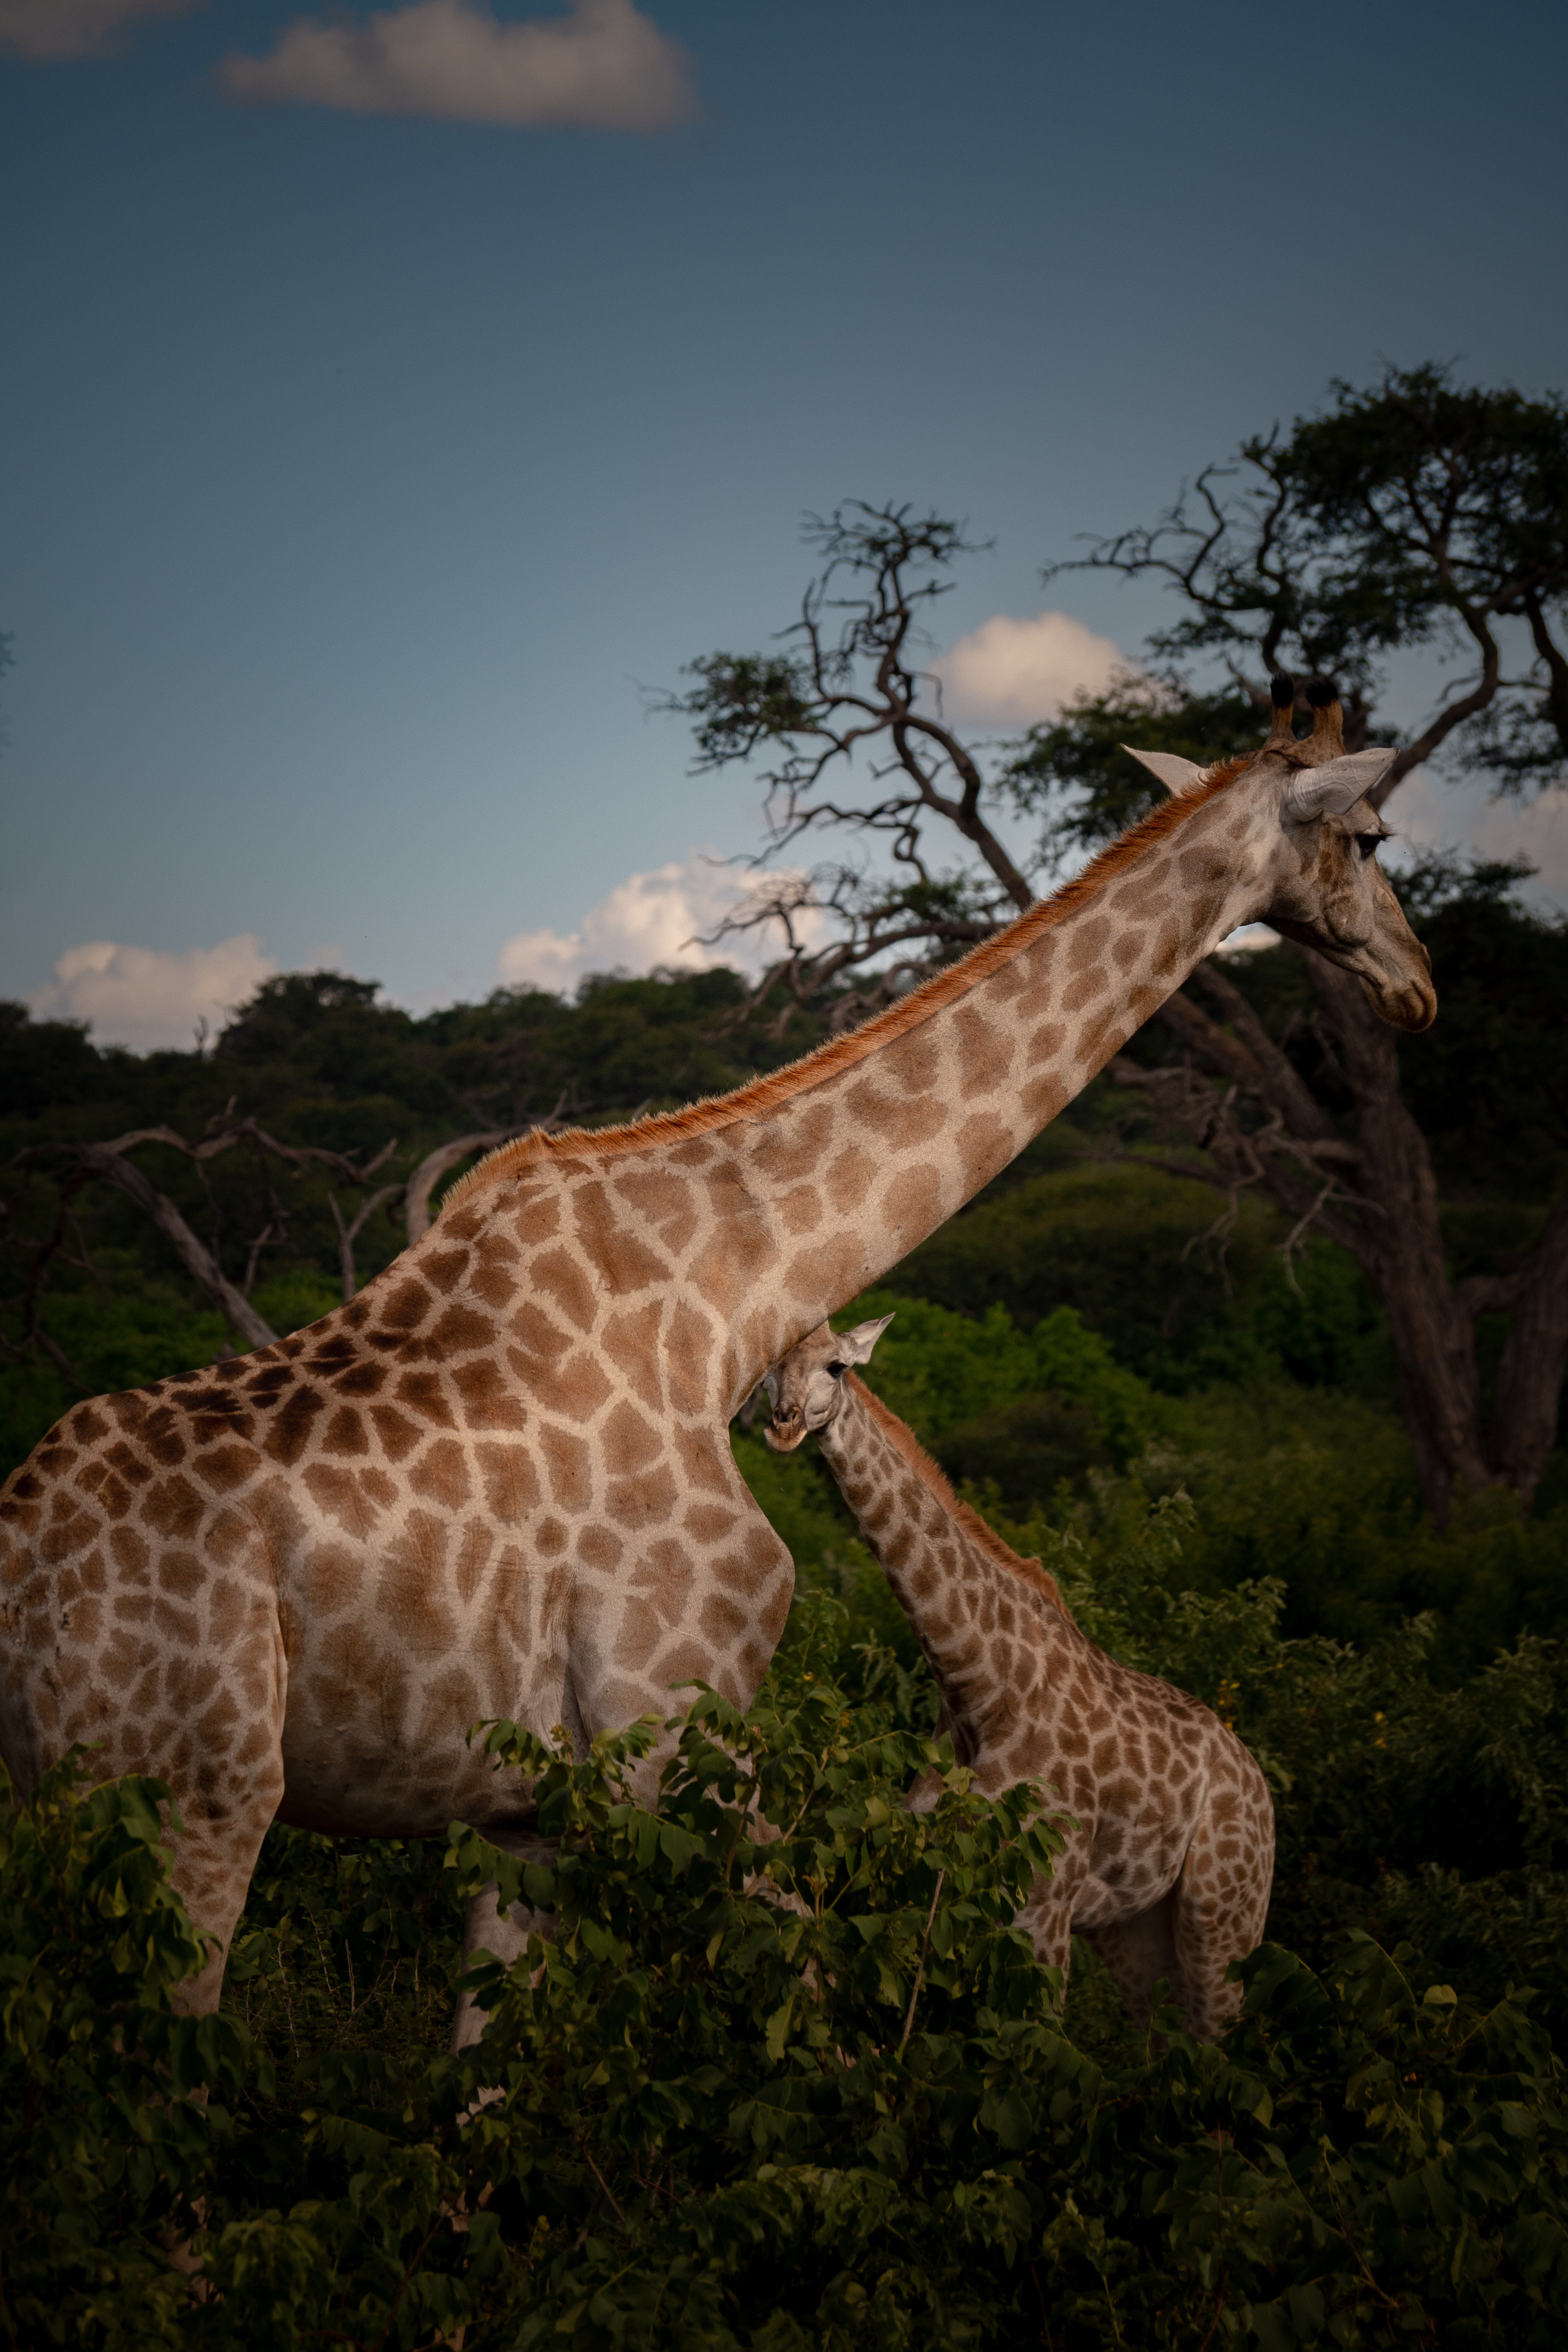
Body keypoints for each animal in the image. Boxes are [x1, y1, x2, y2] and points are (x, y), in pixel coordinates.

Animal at [763, 1318, 1274, 2039]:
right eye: (768, 1368)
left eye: (837, 1367)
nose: (782, 1425)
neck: (976, 1688)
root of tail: (1260, 1784)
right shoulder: (932, 1880)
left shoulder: (1043, 1900)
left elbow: (1032, 2049)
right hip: (1137, 1927)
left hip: (1224, 1916)